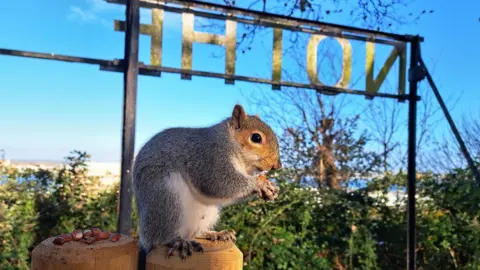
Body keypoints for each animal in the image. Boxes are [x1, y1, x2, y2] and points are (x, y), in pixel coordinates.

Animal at [131, 104, 282, 262]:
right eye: (256, 137)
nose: (277, 165)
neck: (230, 141)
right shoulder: (210, 155)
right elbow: (218, 182)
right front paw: (260, 184)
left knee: (195, 232)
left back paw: (215, 234)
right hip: (165, 198)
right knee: (160, 237)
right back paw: (177, 241)